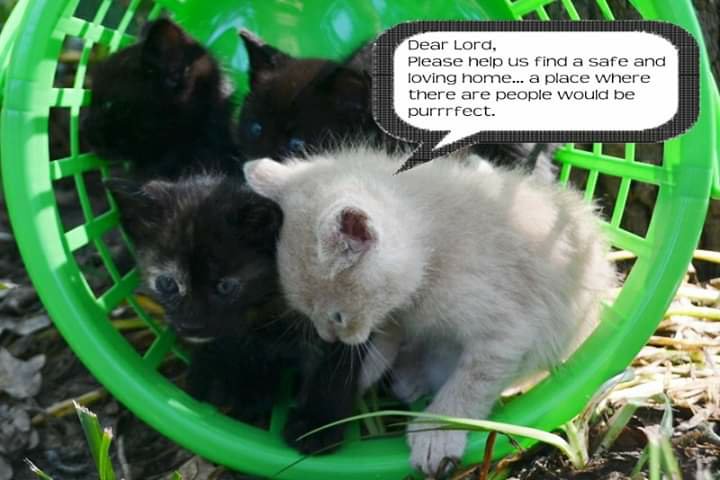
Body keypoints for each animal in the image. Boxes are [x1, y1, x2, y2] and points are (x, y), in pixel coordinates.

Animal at [104, 175, 364, 453]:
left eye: (226, 286)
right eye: (167, 283)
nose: (191, 325)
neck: (268, 301)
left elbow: (334, 368)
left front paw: (316, 424)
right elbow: (235, 344)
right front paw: (243, 385)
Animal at [243, 145, 616, 474]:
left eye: (337, 316)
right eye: (310, 314)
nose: (329, 338)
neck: (432, 244)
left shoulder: (508, 327)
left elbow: (472, 382)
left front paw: (438, 432)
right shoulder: (395, 316)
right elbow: (379, 347)